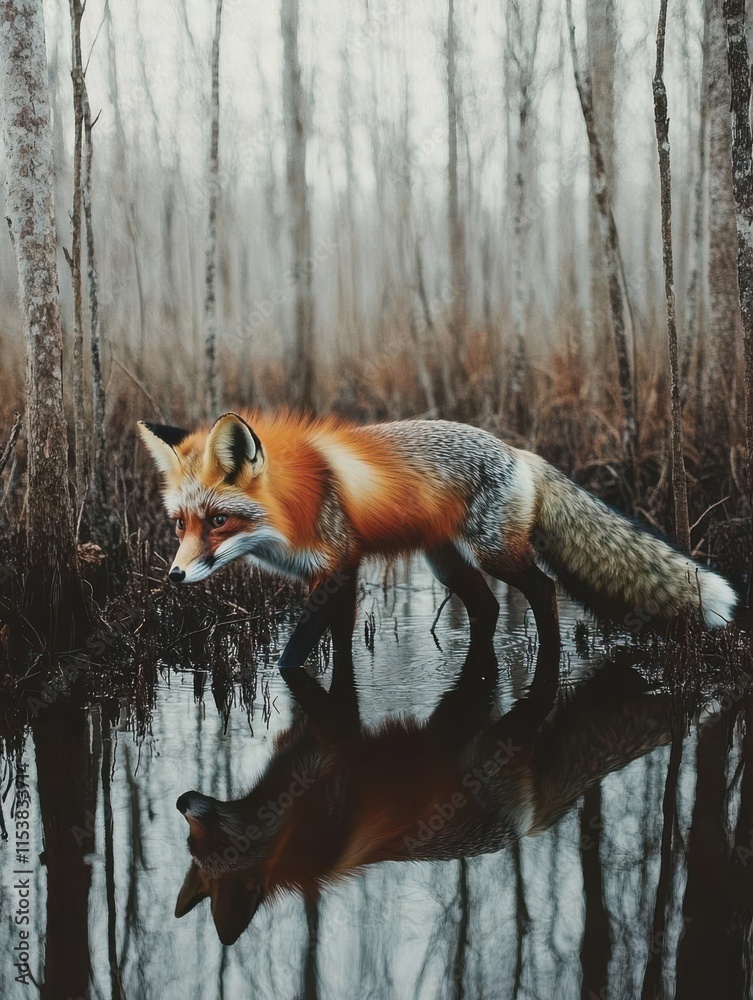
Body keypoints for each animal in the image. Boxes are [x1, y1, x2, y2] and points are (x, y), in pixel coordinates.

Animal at [137, 411, 736, 665]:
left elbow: (295, 651)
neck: (287, 516)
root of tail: (520, 453)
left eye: (218, 521)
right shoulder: (338, 573)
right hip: (445, 563)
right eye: (180, 524)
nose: (175, 575)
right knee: (486, 610)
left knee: (542, 589)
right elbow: (340, 639)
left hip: (496, 553)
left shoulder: (337, 564)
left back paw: (551, 654)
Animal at [172, 640, 674, 945]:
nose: (180, 802)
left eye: (211, 839)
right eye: (191, 842)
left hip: (491, 732)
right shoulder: (304, 751)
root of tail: (524, 829)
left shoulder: (332, 747)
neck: (287, 828)